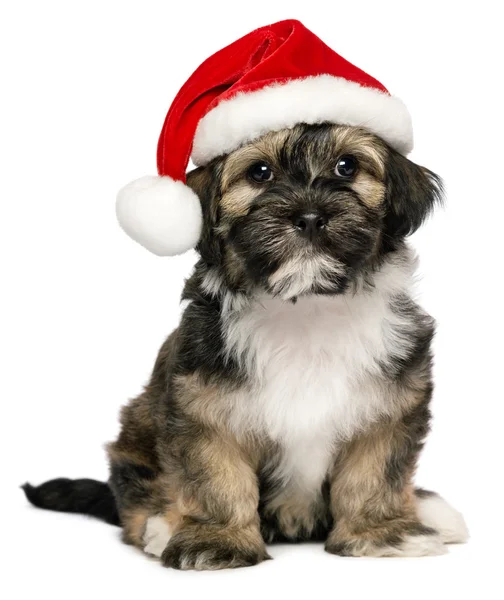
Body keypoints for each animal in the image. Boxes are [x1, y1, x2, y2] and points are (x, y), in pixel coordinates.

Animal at [21, 123, 466, 572]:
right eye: (259, 173)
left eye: (347, 166)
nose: (309, 217)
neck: (306, 308)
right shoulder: (203, 408)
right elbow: (217, 478)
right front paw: (218, 540)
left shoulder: (388, 408)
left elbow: (374, 473)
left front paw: (380, 533)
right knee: (136, 503)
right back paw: (161, 526)